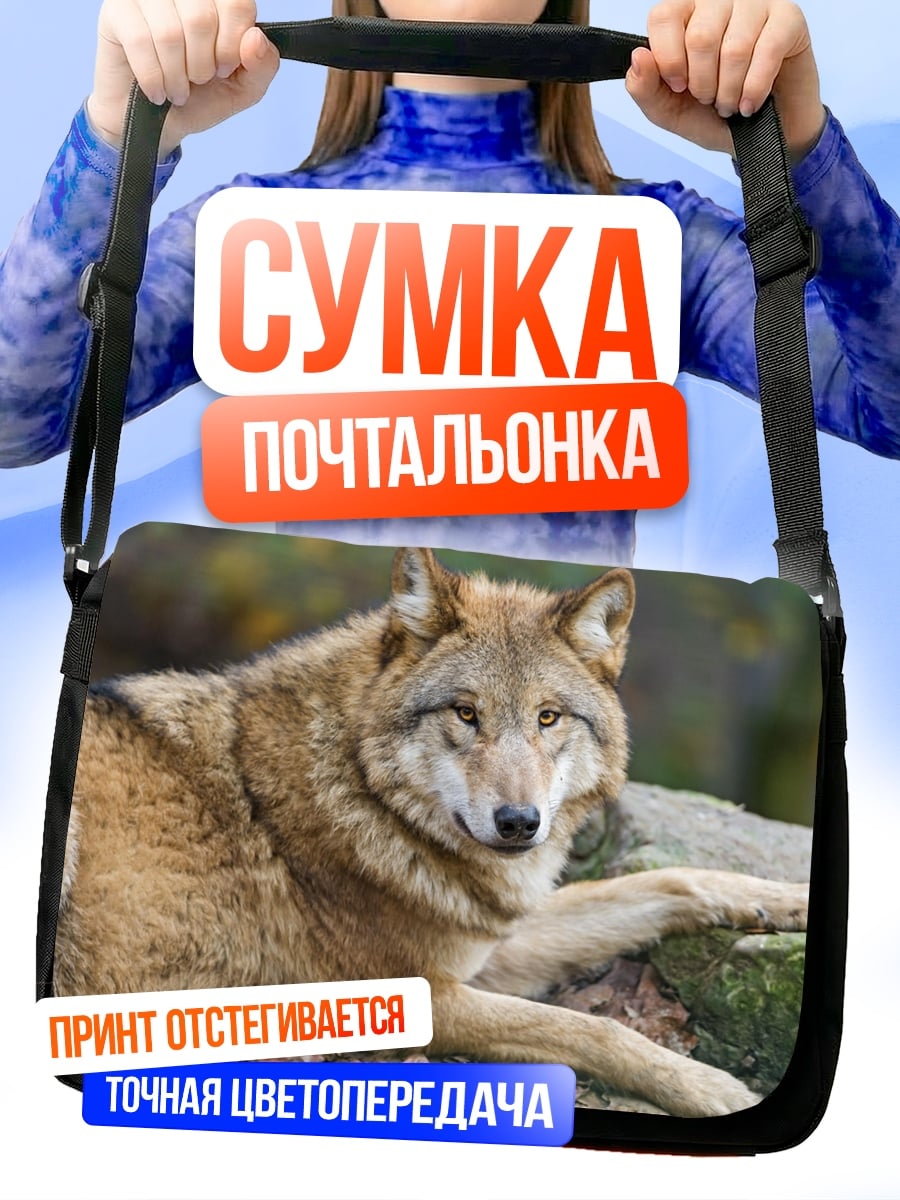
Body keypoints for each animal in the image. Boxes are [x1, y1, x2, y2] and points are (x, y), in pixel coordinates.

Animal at [54, 547, 807, 1117]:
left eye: (548, 717)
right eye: (466, 713)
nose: (518, 823)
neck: (363, 793)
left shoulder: (486, 940)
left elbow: (668, 880)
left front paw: (788, 900)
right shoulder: (423, 996)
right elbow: (586, 1024)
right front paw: (707, 1086)